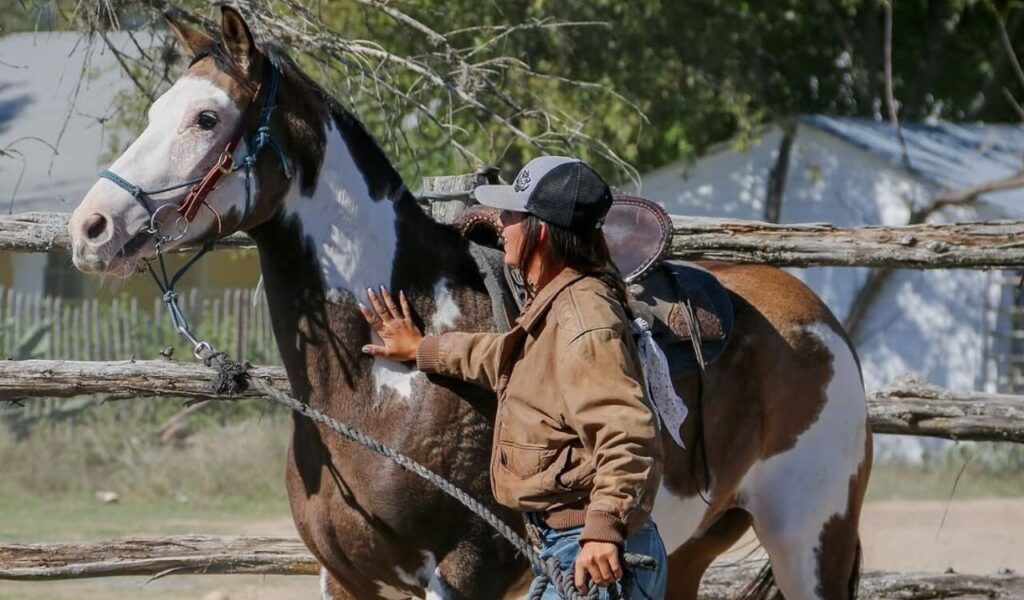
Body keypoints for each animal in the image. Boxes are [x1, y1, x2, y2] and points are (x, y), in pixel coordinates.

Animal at [68, 7, 871, 599]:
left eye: (206, 119)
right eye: (157, 110)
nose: (91, 227)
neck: (377, 389)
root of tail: (818, 318)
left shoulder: (464, 574)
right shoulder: (347, 581)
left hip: (812, 540)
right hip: (694, 549)